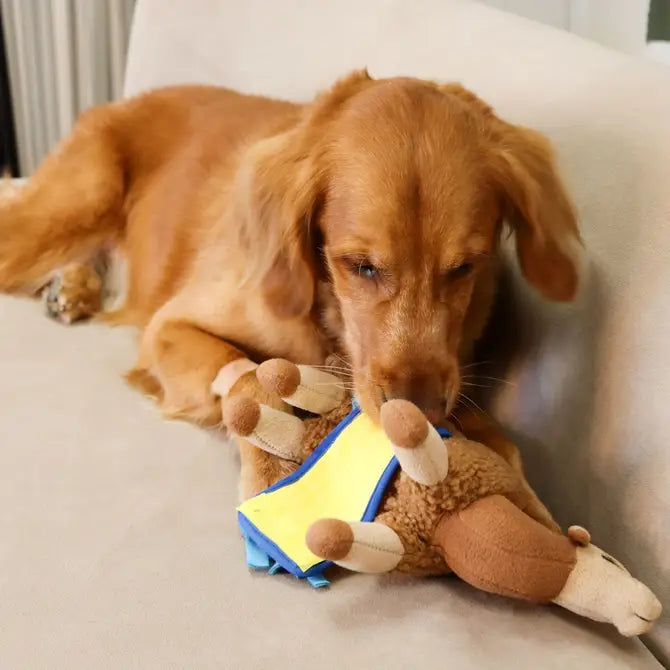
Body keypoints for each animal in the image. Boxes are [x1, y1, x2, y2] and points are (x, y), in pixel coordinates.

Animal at [0, 71, 580, 524]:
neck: (330, 320)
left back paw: (72, 288)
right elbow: (251, 379)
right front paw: (269, 471)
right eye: (360, 266)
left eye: (464, 268)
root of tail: (123, 99)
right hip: (74, 204)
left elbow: (503, 444)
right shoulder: (170, 325)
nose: (418, 413)